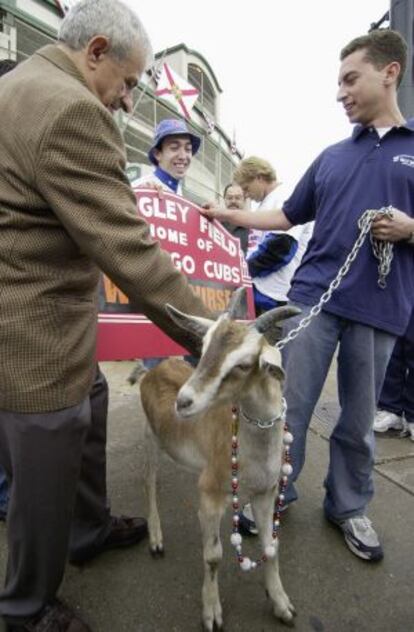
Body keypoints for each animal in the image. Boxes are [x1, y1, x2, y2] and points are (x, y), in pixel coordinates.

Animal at [141, 288, 300, 628]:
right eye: (203, 348)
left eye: (243, 364)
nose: (184, 402)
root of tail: (154, 369)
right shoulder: (211, 494)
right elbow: (213, 556)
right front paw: (212, 611)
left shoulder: (265, 493)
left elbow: (271, 546)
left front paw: (281, 603)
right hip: (151, 438)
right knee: (149, 482)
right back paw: (156, 539)